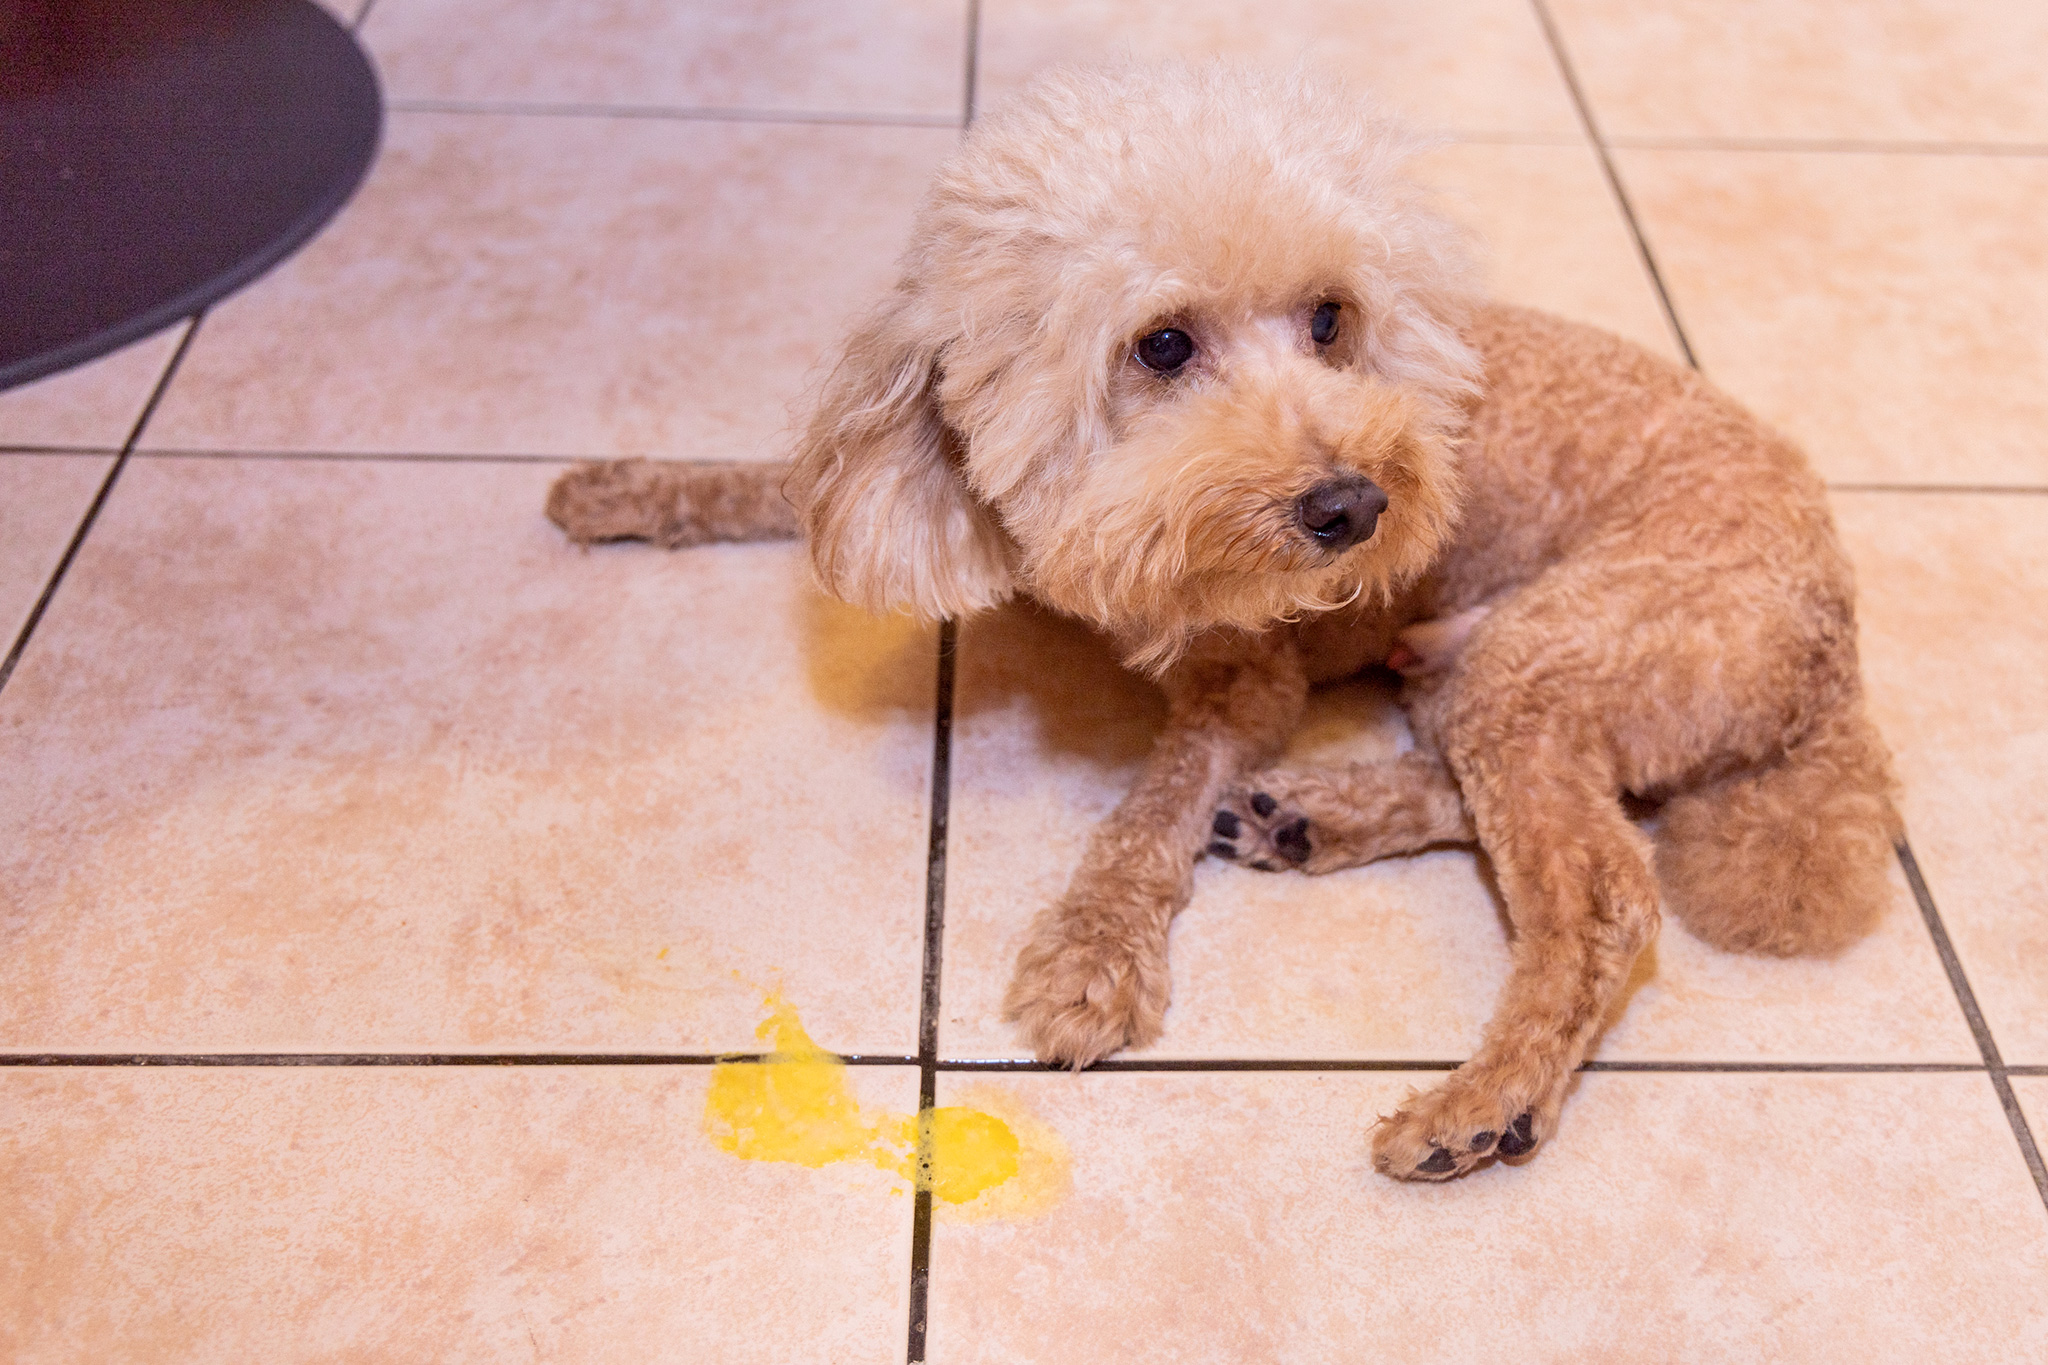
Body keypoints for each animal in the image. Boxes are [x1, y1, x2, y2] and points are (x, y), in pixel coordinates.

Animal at [548, 58, 1900, 1178]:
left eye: (1328, 320)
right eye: (1160, 345)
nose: (1355, 505)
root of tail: (1832, 637)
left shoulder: (1244, 681)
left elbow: (1148, 813)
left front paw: (1091, 954)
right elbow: (775, 484)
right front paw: (627, 490)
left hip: (1549, 658)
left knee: (1603, 898)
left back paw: (1479, 1103)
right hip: (1477, 674)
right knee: (1501, 804)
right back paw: (1310, 818)